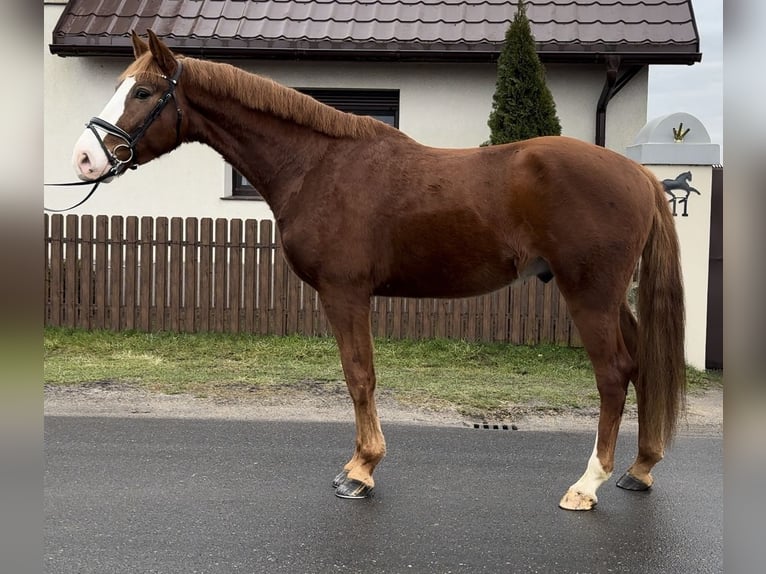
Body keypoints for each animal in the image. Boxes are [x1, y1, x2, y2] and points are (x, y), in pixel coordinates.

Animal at [72, 31, 688, 510]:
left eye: (144, 91)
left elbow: (358, 375)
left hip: (590, 293)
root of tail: (639, 173)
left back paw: (587, 485)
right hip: (612, 297)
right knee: (641, 366)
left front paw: (361, 471)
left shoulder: (344, 292)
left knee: (614, 374)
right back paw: (640, 469)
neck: (317, 166)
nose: (84, 158)